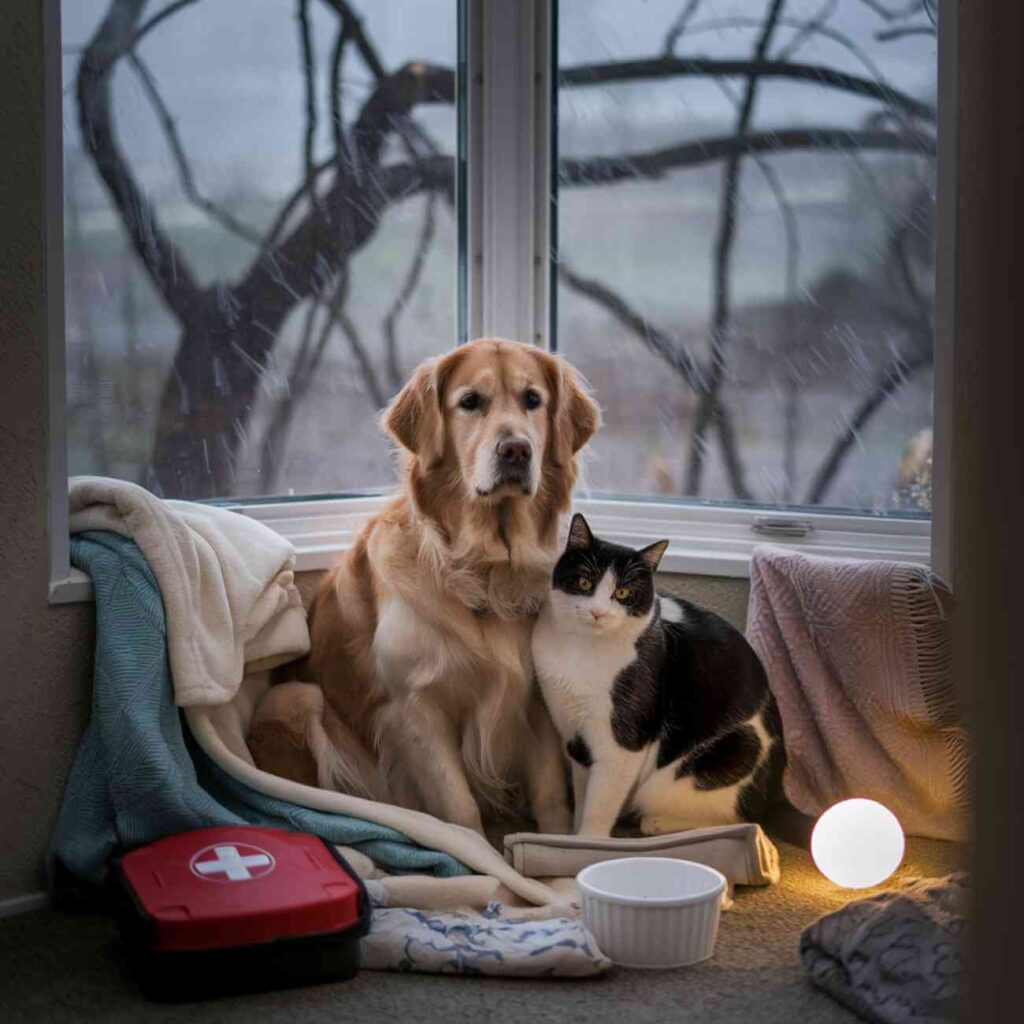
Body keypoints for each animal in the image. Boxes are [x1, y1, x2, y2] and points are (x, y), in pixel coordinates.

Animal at [247, 335, 598, 831]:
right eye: (470, 402)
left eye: (533, 399)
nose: (516, 450)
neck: (485, 573)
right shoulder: (416, 709)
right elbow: (460, 808)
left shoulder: (535, 701)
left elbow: (551, 798)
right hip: (297, 698)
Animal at [528, 516, 782, 835]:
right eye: (584, 582)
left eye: (623, 593)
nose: (598, 612)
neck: (580, 649)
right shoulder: (574, 733)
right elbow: (584, 794)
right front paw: (572, 836)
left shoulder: (624, 739)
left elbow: (599, 806)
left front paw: (589, 840)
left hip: (731, 749)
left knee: (743, 820)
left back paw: (658, 822)